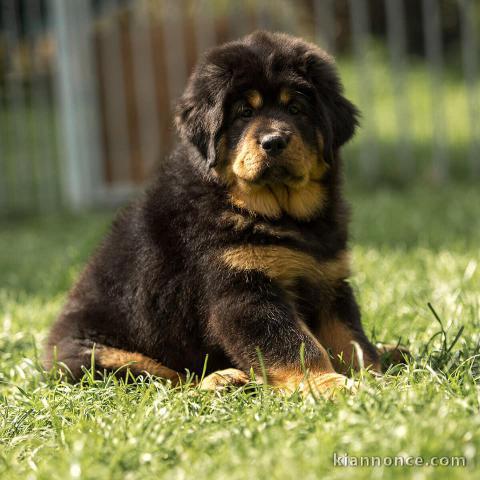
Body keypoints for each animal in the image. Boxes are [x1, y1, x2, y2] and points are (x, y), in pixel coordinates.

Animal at [44, 31, 402, 396]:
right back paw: (221, 379)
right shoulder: (243, 293)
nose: (273, 141)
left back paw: (392, 350)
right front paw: (330, 385)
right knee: (167, 381)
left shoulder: (330, 282)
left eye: (296, 109)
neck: (278, 214)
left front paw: (374, 376)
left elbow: (351, 340)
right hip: (97, 355)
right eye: (244, 112)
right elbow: (295, 345)